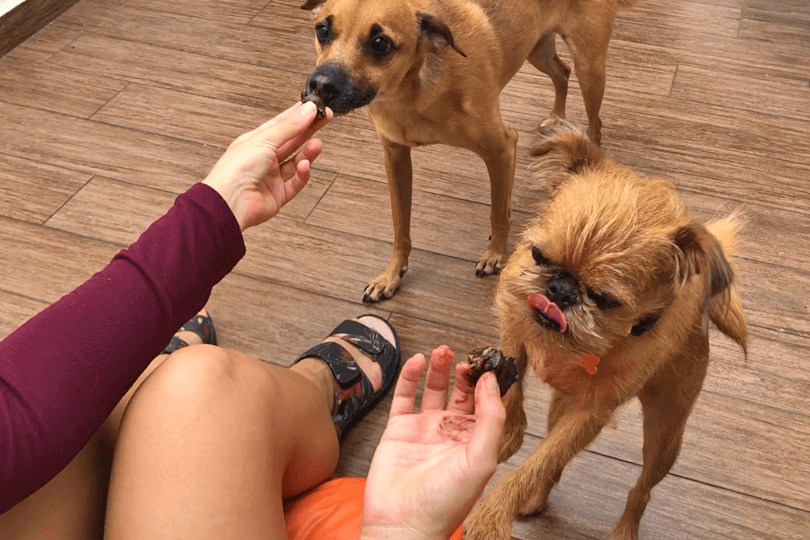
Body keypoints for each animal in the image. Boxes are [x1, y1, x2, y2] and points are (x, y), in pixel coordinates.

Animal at [300, 0, 636, 302]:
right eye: (322, 31)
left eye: (381, 43)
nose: (320, 85)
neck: (410, 93)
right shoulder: (395, 158)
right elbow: (400, 225)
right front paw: (391, 276)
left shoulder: (501, 149)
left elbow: (498, 212)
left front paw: (496, 255)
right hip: (536, 48)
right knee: (561, 72)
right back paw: (556, 116)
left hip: (590, 66)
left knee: (594, 122)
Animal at [460, 123, 744, 540]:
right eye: (538, 256)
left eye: (604, 298)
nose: (560, 290)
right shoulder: (515, 323)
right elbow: (516, 400)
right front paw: (505, 427)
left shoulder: (591, 413)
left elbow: (533, 465)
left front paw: (490, 516)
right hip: (562, 407)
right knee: (554, 462)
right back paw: (535, 498)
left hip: (665, 437)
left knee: (639, 489)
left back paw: (625, 529)